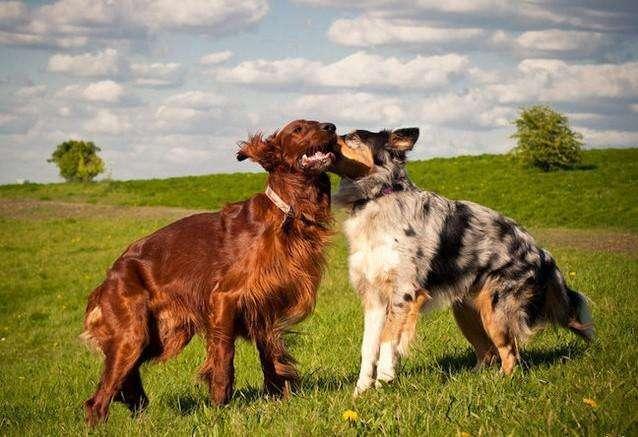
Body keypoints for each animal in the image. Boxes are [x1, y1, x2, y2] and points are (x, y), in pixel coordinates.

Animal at [84, 118, 340, 422]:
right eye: (298, 129)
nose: (332, 127)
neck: (288, 214)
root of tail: (108, 277)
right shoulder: (224, 299)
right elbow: (224, 360)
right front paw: (220, 409)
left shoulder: (266, 307)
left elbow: (271, 359)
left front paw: (278, 399)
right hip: (133, 334)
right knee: (99, 398)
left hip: (155, 336)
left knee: (126, 383)